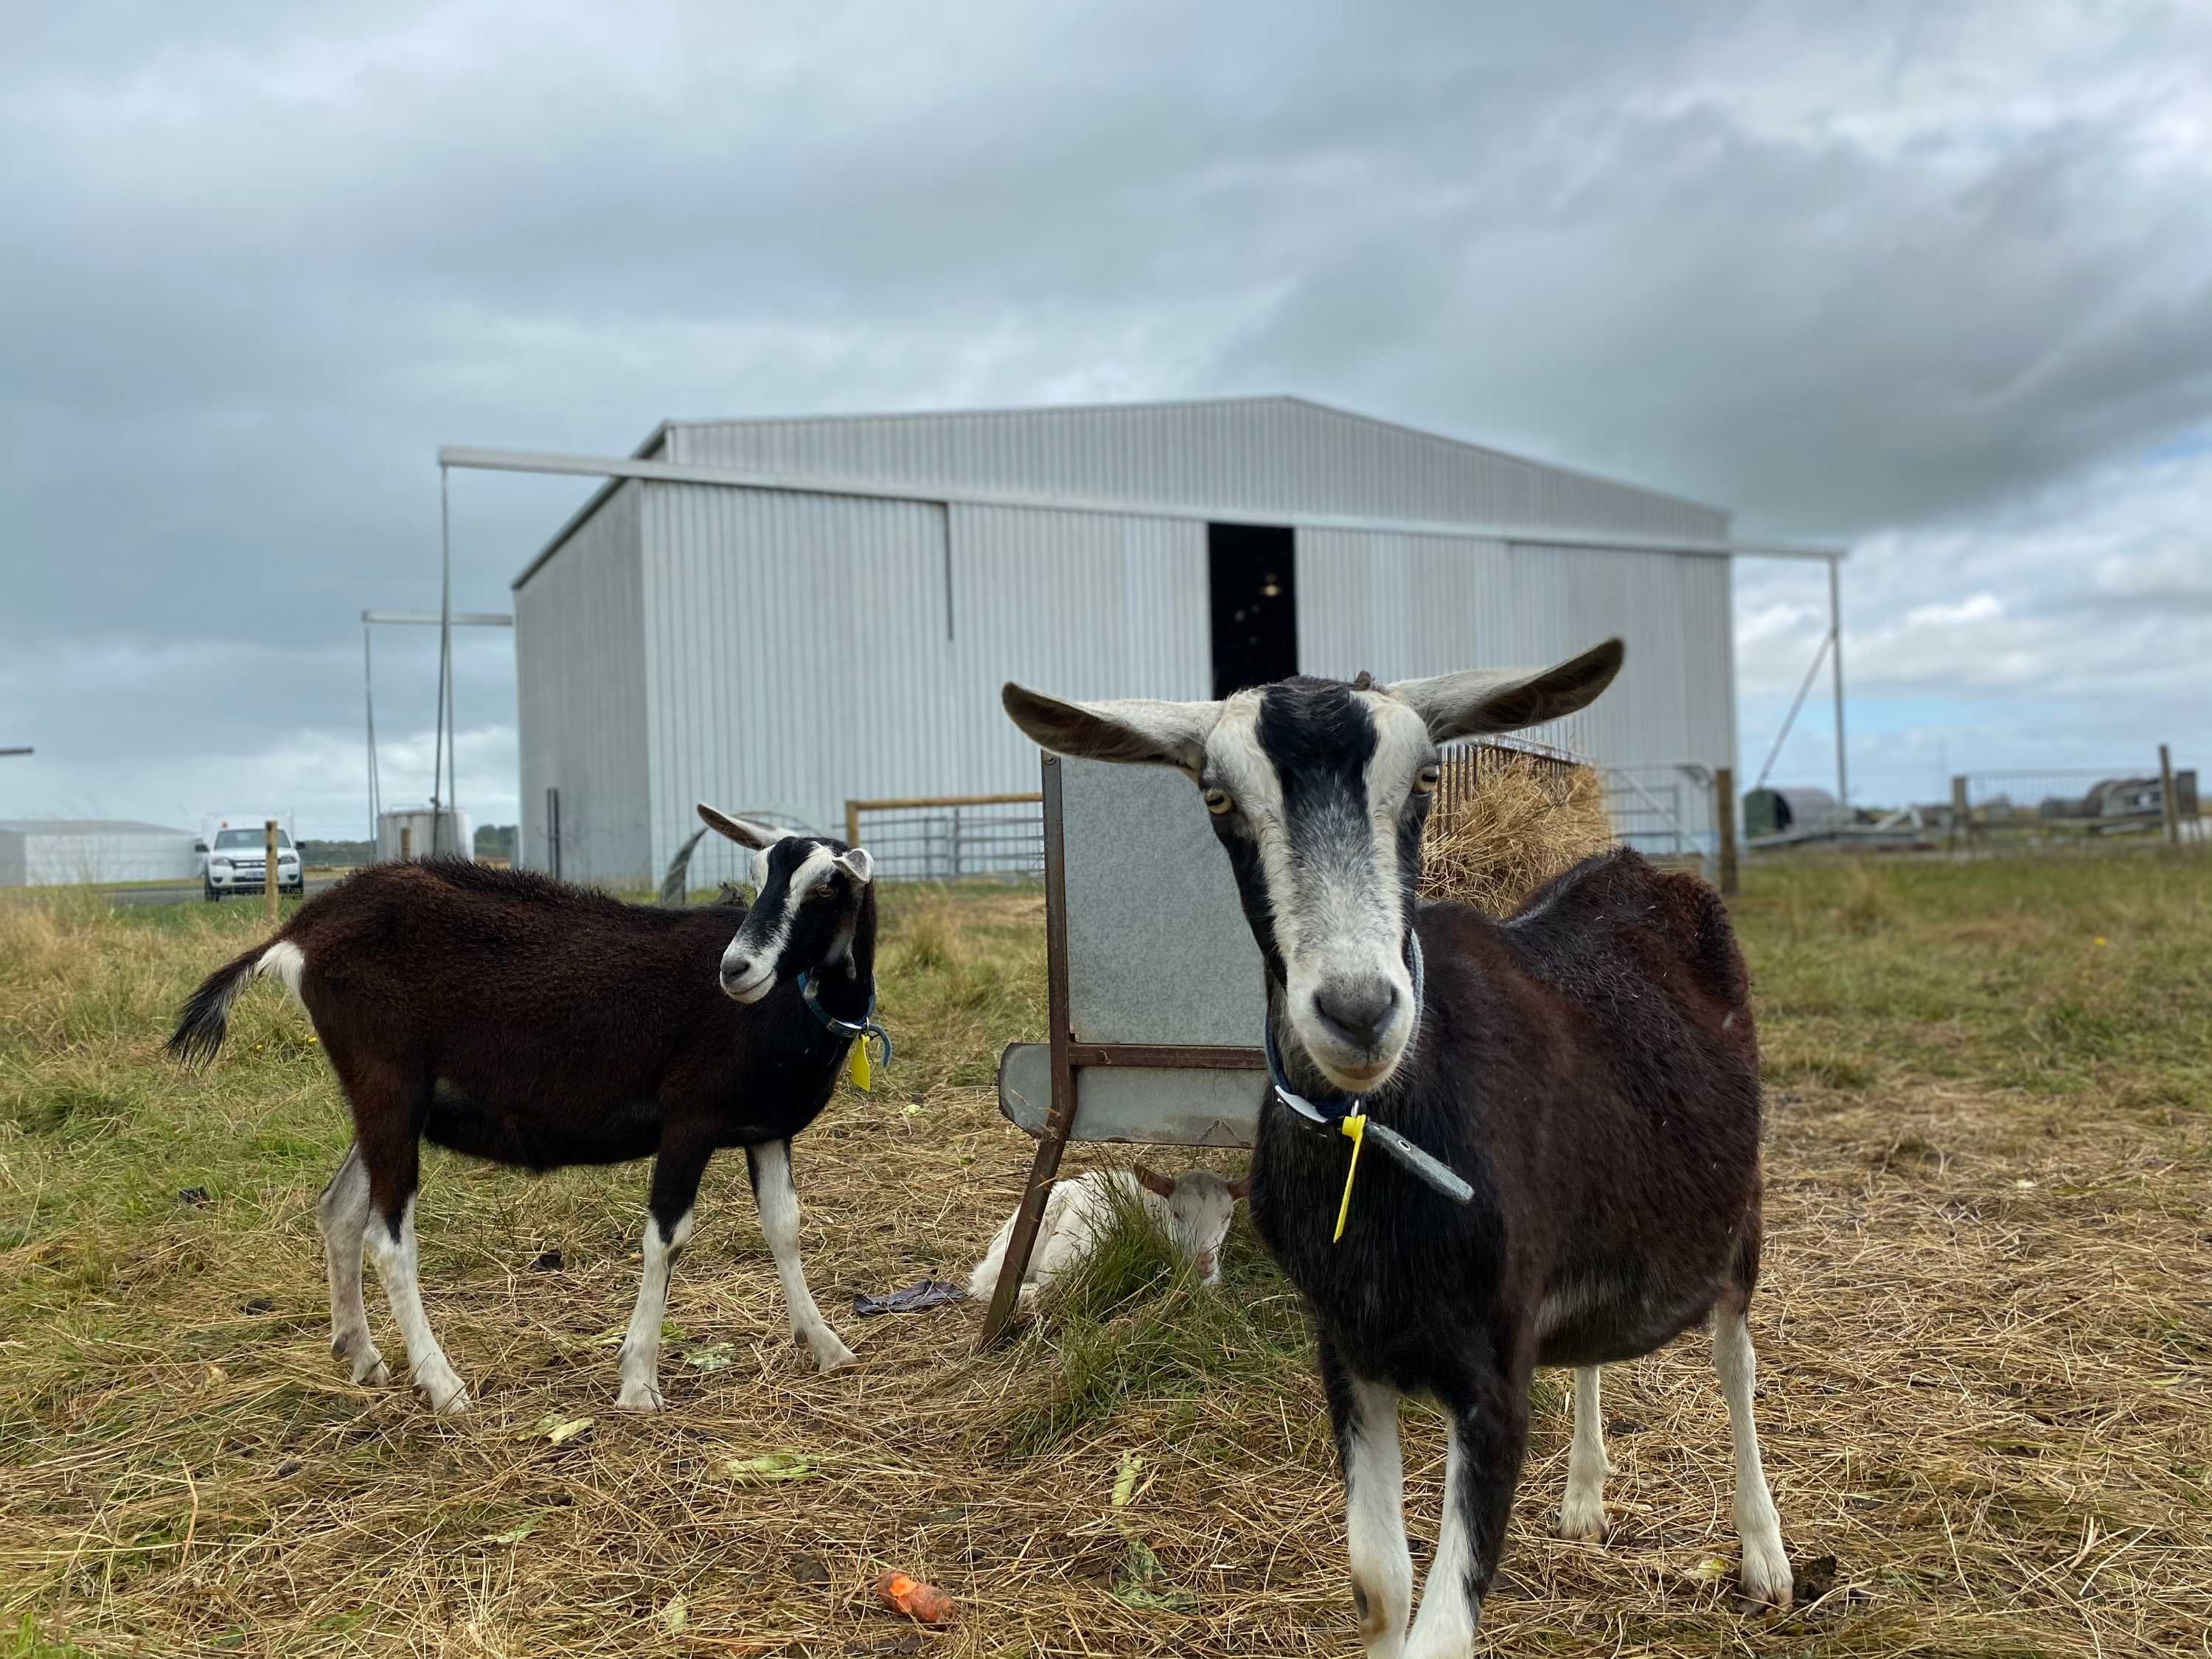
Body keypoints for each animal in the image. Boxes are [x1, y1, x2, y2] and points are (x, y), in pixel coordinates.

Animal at [165, 805, 882, 1415]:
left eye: (827, 887)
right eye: (759, 877)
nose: (736, 968)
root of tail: (301, 932)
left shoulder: (767, 1130)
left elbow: (784, 1228)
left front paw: (828, 1346)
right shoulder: (689, 1121)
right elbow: (668, 1238)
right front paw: (638, 1382)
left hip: (388, 1103)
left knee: (338, 1210)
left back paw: (362, 1356)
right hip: (388, 1082)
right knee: (387, 1239)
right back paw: (443, 1385)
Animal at [1002, 641, 1792, 1656]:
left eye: (1423, 780)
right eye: (1217, 797)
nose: (1359, 1009)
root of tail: (1635, 868)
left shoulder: (1494, 1377)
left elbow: (1442, 1629)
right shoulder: (1348, 1348)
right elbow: (1380, 1585)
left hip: (1737, 1214)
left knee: (1737, 1362)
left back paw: (1764, 1554)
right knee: (1594, 1348)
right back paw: (1584, 1496)